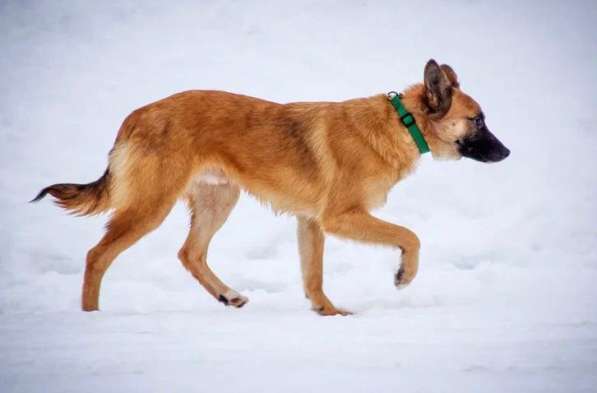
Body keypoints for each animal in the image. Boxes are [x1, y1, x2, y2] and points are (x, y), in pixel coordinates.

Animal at [31, 59, 508, 316]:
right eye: (478, 120)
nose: (506, 153)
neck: (401, 122)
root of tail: (136, 116)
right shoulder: (340, 218)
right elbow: (411, 235)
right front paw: (404, 275)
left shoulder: (311, 223)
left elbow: (313, 276)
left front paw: (327, 312)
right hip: (152, 206)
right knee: (98, 255)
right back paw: (92, 317)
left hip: (219, 199)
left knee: (190, 253)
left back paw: (227, 294)